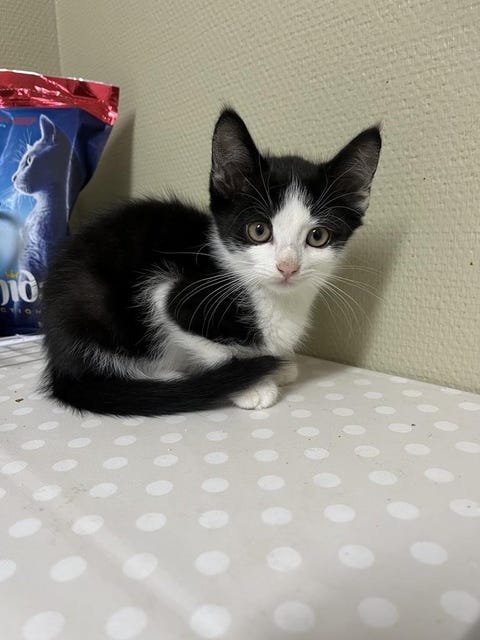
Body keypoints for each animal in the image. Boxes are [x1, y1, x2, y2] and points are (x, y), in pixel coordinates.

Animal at [42, 109, 381, 416]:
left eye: (318, 236)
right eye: (259, 230)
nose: (287, 267)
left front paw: (280, 365)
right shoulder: (168, 294)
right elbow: (213, 347)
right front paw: (252, 383)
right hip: (95, 309)